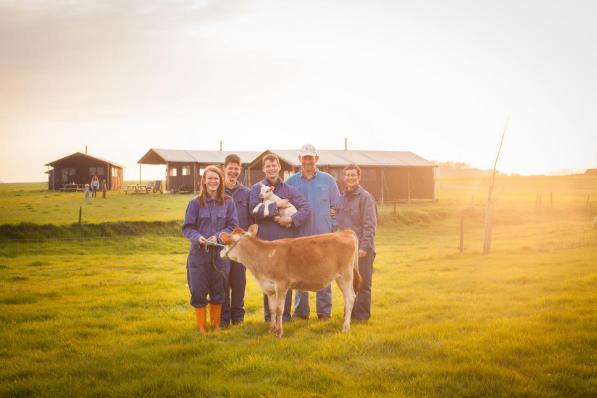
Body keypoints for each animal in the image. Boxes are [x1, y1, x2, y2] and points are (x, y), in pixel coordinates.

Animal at [218, 225, 358, 338]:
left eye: (227, 241)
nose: (220, 253)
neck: (265, 257)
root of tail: (345, 232)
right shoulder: (269, 288)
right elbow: (272, 309)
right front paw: (271, 329)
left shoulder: (281, 284)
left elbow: (279, 309)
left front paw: (279, 332)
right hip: (339, 278)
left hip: (346, 275)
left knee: (350, 298)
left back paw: (346, 327)